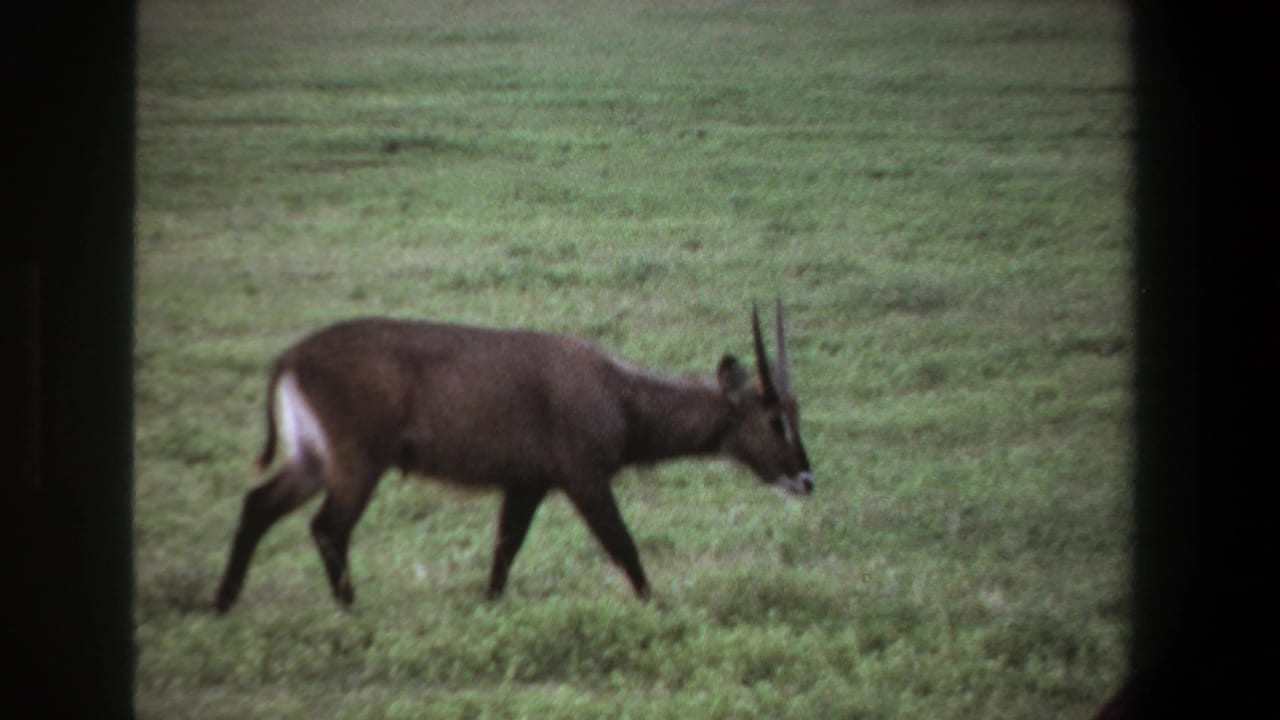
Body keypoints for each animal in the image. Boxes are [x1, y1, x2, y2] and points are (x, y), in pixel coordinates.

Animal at [214, 302, 813, 612]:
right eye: (774, 419)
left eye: (796, 410)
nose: (806, 479)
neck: (618, 393)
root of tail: (291, 356)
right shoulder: (583, 478)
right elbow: (623, 545)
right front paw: (653, 606)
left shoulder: (526, 484)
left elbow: (505, 550)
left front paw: (490, 607)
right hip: (357, 464)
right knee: (327, 527)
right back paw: (349, 608)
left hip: (313, 460)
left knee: (256, 505)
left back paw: (224, 603)